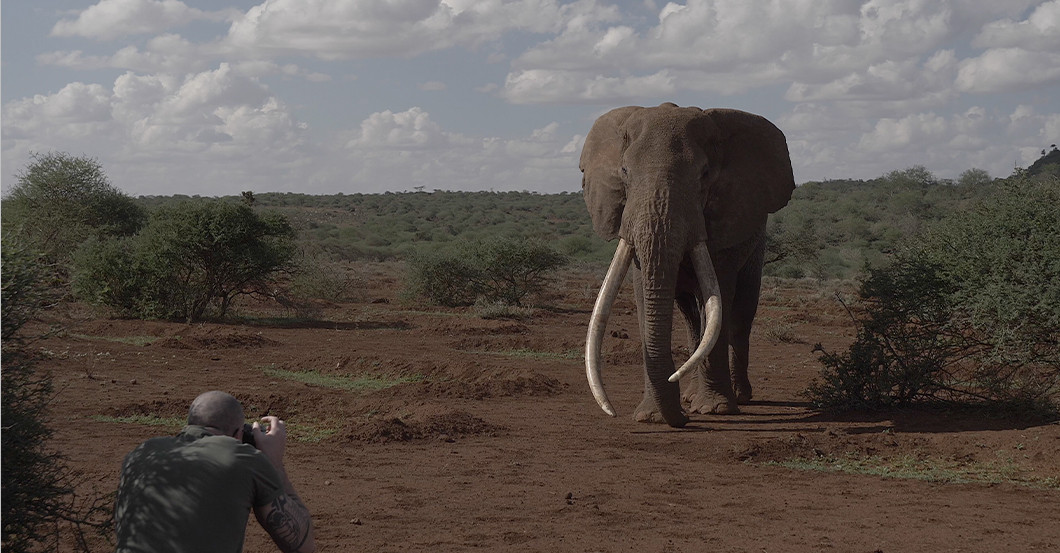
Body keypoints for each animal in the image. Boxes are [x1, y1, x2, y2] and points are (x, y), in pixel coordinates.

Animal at [580, 102, 795, 428]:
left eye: (704, 175)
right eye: (624, 171)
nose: (681, 421)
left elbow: (720, 296)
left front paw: (715, 409)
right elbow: (643, 292)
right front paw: (651, 417)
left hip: (757, 244)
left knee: (740, 313)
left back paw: (738, 397)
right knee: (691, 318)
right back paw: (691, 398)